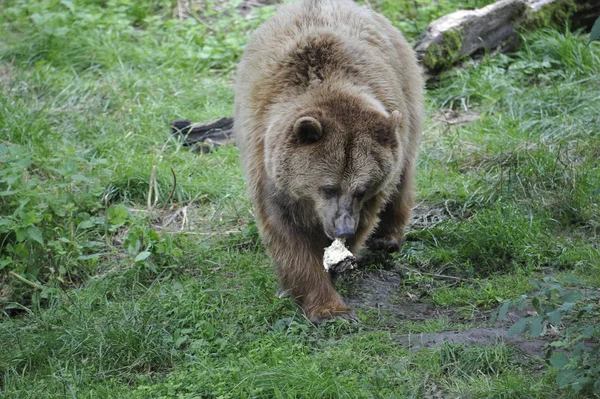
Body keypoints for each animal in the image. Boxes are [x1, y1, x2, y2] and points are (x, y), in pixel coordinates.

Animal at [232, 0, 424, 324]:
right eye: (328, 187)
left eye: (361, 189)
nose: (343, 228)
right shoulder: (267, 164)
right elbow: (287, 234)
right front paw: (326, 306)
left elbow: (369, 213)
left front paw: (337, 261)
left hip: (407, 95)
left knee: (404, 173)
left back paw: (387, 238)